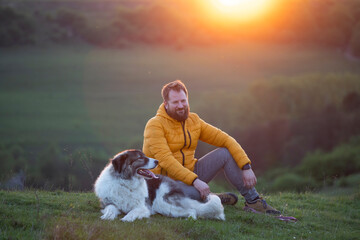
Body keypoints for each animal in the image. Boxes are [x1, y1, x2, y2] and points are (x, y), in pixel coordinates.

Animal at [95, 149, 225, 222]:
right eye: (140, 158)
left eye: (144, 155)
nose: (157, 161)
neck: (126, 182)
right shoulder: (109, 203)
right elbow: (110, 208)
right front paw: (107, 216)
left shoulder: (143, 207)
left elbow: (133, 211)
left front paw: (127, 218)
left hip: (164, 204)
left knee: (192, 210)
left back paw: (189, 219)